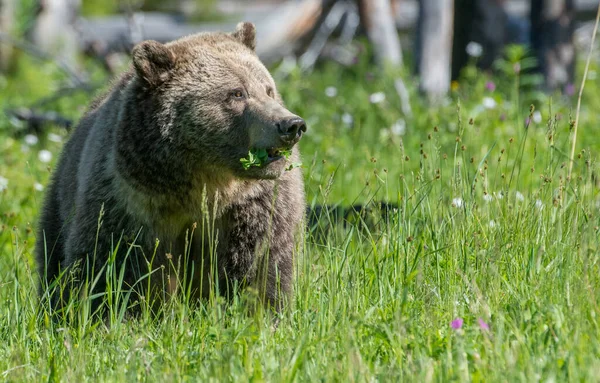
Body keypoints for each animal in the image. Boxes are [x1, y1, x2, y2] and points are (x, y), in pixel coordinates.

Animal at [37, 21, 308, 316]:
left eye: (268, 89)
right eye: (237, 93)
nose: (291, 124)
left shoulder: (254, 205)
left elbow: (261, 262)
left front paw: (260, 309)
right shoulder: (127, 201)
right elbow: (108, 264)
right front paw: (106, 310)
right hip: (61, 199)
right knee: (52, 258)